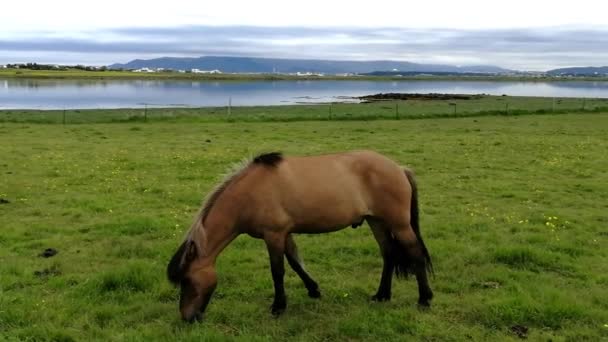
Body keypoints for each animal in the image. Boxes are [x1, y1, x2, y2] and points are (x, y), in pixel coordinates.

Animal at [166, 149, 432, 320]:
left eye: (187, 281)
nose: (187, 317)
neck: (250, 193)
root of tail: (399, 168)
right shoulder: (284, 234)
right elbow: (295, 262)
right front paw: (314, 290)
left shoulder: (273, 235)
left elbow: (278, 271)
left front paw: (278, 307)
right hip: (376, 221)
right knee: (388, 254)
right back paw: (382, 295)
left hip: (399, 224)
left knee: (415, 254)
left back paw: (424, 299)